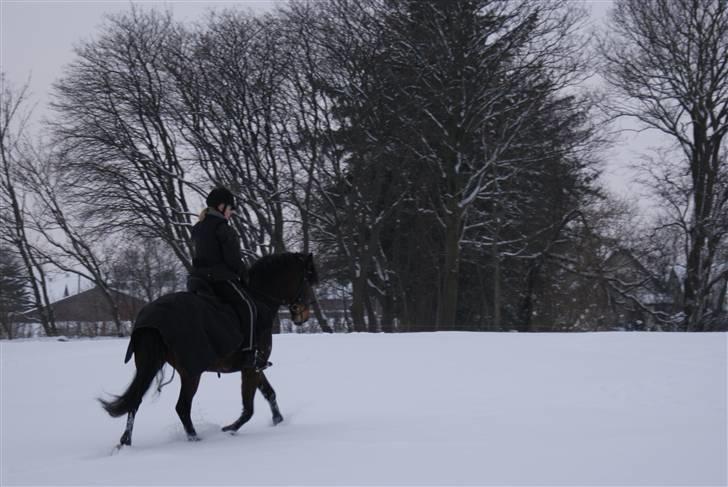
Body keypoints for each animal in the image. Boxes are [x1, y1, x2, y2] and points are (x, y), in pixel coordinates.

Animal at [99, 254, 318, 448]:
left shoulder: (255, 366)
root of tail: (152, 319)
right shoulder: (251, 367)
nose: (303, 316)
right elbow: (249, 407)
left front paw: (278, 421)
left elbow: (269, 393)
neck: (260, 299)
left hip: (149, 365)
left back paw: (125, 443)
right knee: (182, 407)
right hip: (191, 373)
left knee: (135, 402)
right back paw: (195, 439)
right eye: (308, 280)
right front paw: (230, 429)